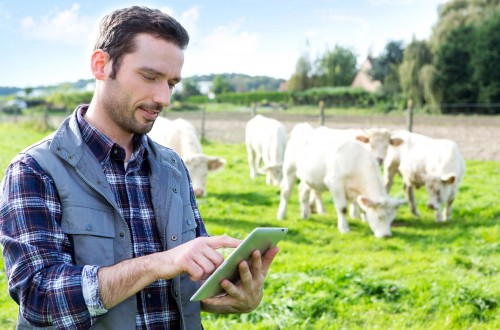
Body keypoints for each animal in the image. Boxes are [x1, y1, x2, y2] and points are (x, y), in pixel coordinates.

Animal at [278, 125, 406, 237]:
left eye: (391, 219)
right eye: (380, 217)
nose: (387, 235)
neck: (357, 160)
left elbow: (361, 206)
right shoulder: (335, 183)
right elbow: (342, 208)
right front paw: (344, 228)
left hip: (309, 177)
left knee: (303, 192)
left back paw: (305, 214)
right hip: (289, 170)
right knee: (286, 192)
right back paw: (281, 215)